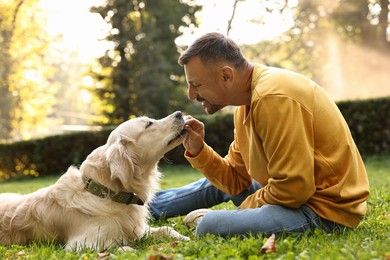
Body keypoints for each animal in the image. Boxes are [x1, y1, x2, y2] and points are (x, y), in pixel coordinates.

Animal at [0, 110, 189, 251]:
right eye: (149, 124)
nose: (180, 113)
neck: (105, 192)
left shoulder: (138, 229)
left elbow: (167, 228)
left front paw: (184, 238)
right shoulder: (82, 244)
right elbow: (123, 248)